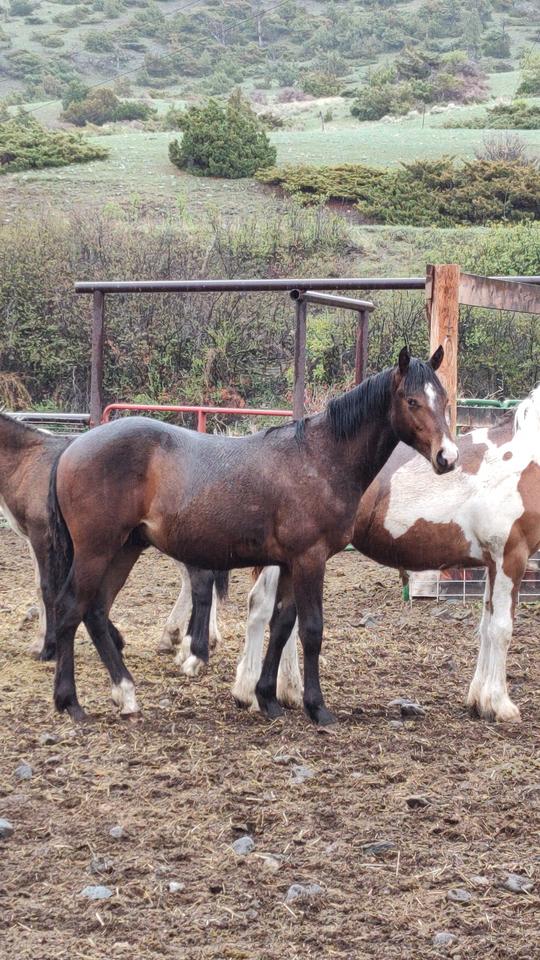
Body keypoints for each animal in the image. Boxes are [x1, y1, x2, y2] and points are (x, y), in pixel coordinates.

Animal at [45, 348, 456, 724]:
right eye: (412, 401)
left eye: (444, 399)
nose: (447, 457)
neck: (320, 459)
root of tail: (73, 447)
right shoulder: (310, 558)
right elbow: (311, 630)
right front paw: (316, 707)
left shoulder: (289, 563)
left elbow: (282, 625)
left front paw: (267, 697)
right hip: (96, 551)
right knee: (70, 608)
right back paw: (70, 702)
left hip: (125, 548)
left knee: (96, 611)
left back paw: (126, 694)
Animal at [230, 386, 540, 724]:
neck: (523, 458)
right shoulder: (510, 557)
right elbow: (501, 629)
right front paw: (500, 704)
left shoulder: (491, 563)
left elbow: (486, 627)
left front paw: (479, 701)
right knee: (262, 607)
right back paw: (254, 692)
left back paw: (286, 692)